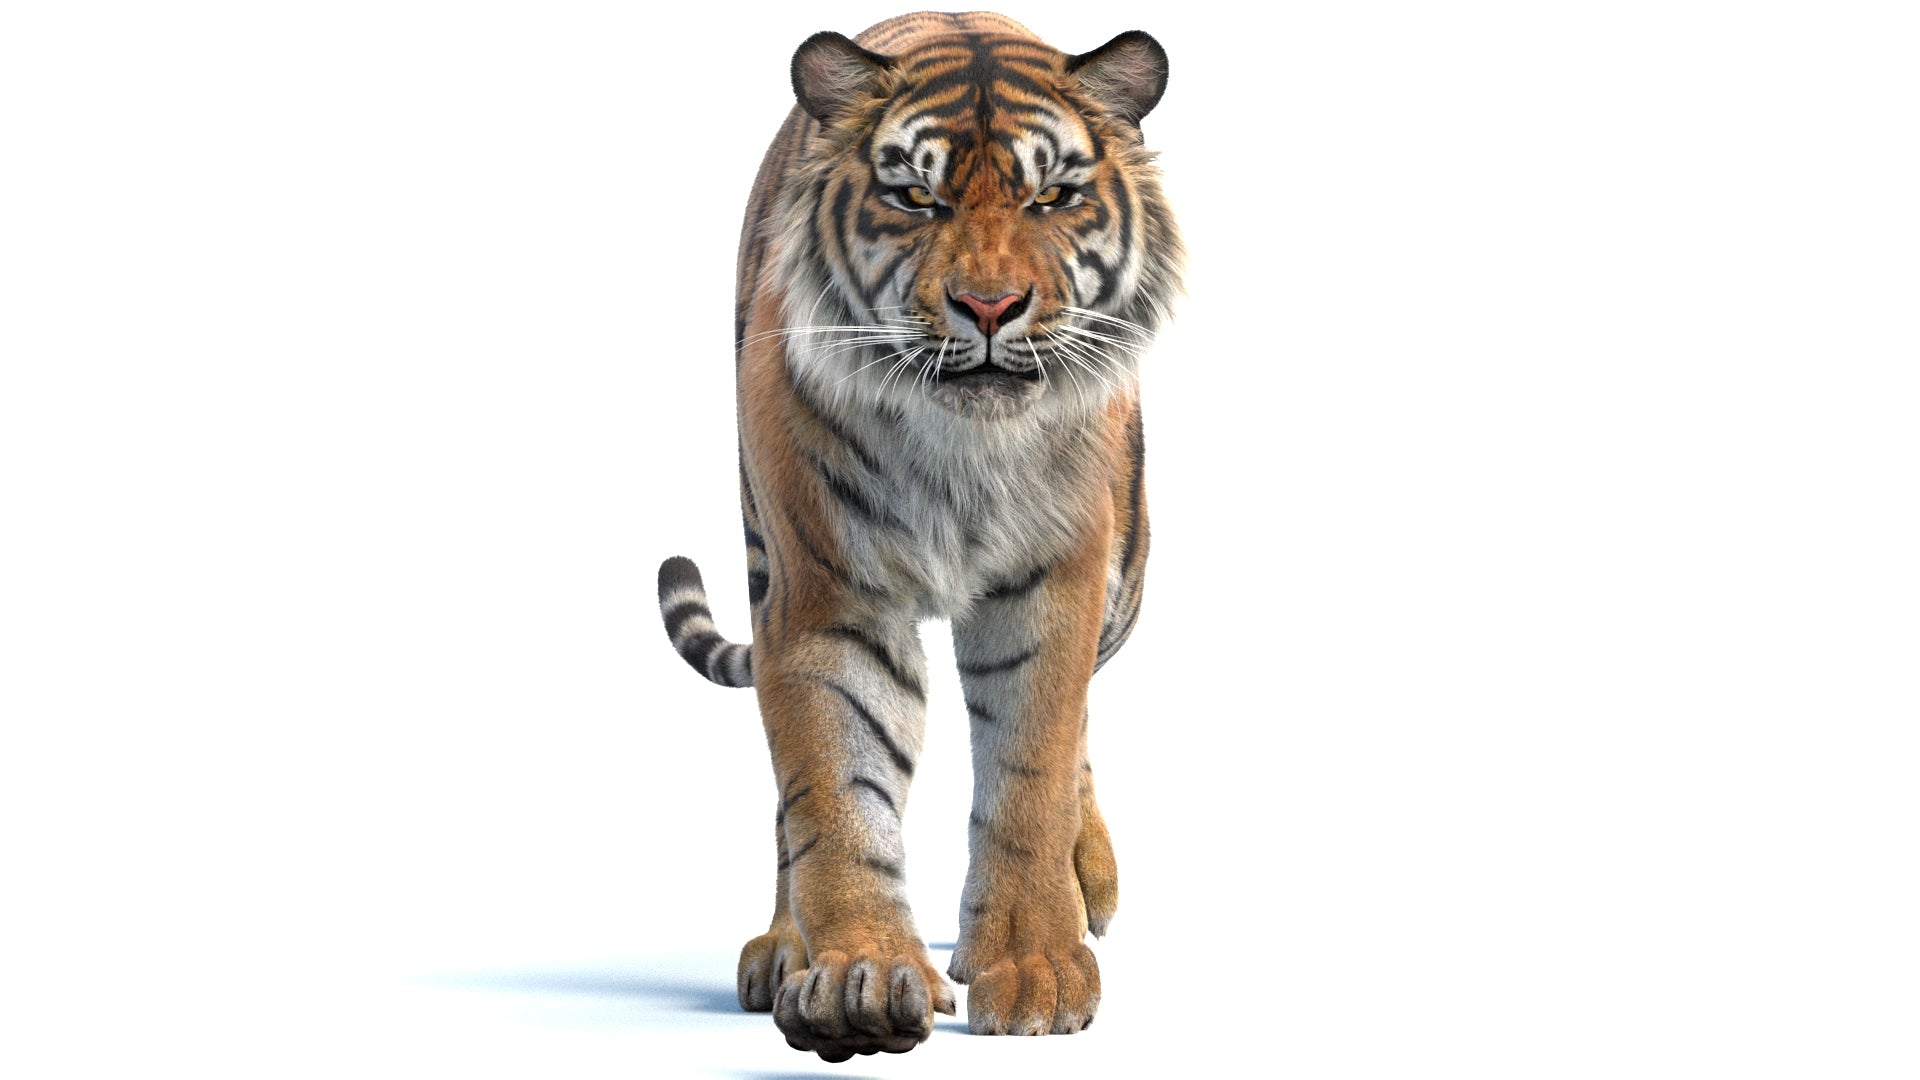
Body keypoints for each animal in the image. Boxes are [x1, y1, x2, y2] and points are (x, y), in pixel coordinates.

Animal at [656, 10, 1181, 1061]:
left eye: (1051, 196)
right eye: (915, 197)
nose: (988, 307)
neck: (961, 447)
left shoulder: (1054, 583)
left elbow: (1033, 770)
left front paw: (1036, 969)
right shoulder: (824, 596)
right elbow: (834, 787)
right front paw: (855, 975)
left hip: (1126, 575)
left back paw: (1089, 885)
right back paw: (784, 945)